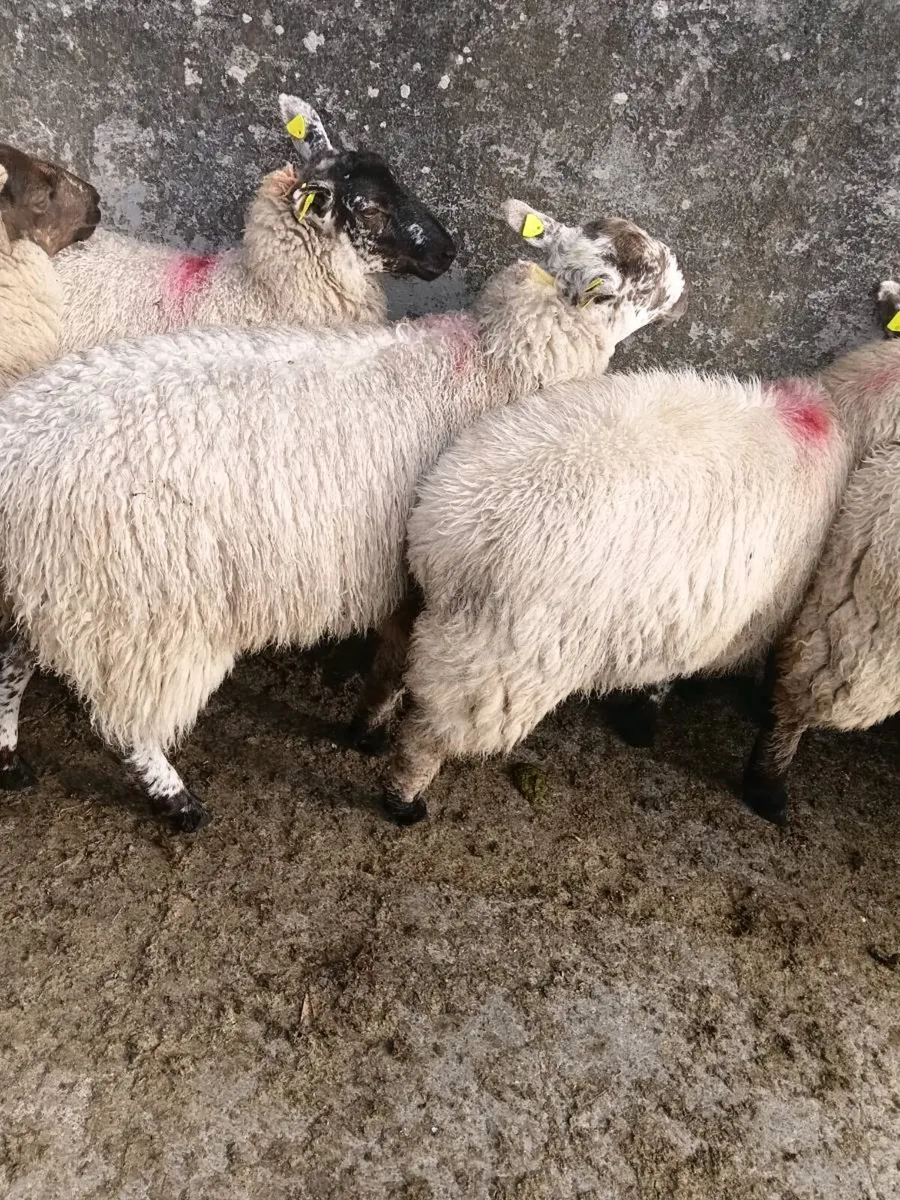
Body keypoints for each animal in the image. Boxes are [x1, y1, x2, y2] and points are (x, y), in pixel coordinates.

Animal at [0, 199, 685, 831]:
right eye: (641, 271)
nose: (683, 281)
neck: (494, 367)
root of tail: (17, 446)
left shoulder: (411, 575)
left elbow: (392, 660)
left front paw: (365, 730)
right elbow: (399, 668)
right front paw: (376, 739)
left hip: (50, 588)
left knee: (10, 665)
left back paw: (11, 762)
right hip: (139, 612)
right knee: (125, 726)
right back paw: (177, 800)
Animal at [380, 365, 858, 824]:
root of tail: (440, 528)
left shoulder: (689, 611)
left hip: (432, 619)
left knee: (392, 672)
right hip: (494, 662)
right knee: (428, 736)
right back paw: (403, 801)